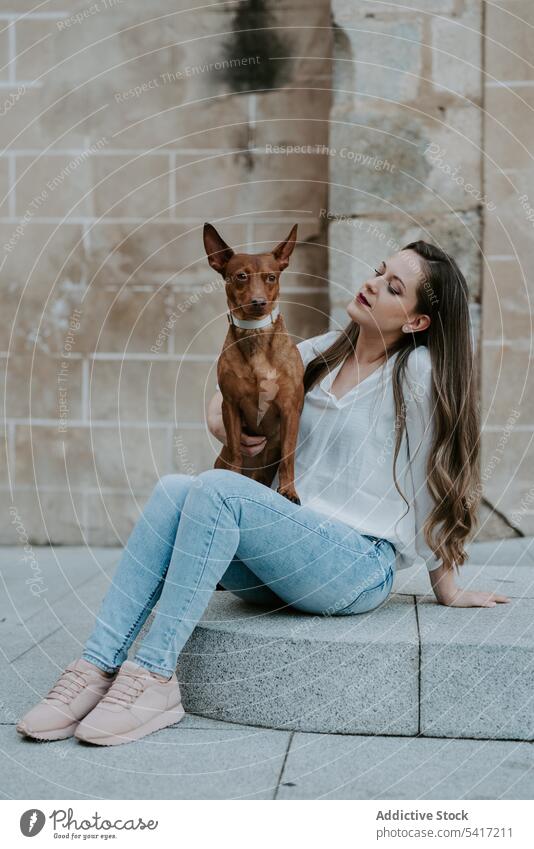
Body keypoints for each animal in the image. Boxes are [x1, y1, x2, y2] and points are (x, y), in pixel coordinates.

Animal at [204, 222, 306, 506]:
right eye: (241, 276)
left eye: (271, 277)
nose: (259, 302)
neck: (256, 335)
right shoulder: (230, 405)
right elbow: (237, 451)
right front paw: (232, 478)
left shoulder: (290, 409)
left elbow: (288, 457)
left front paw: (289, 491)